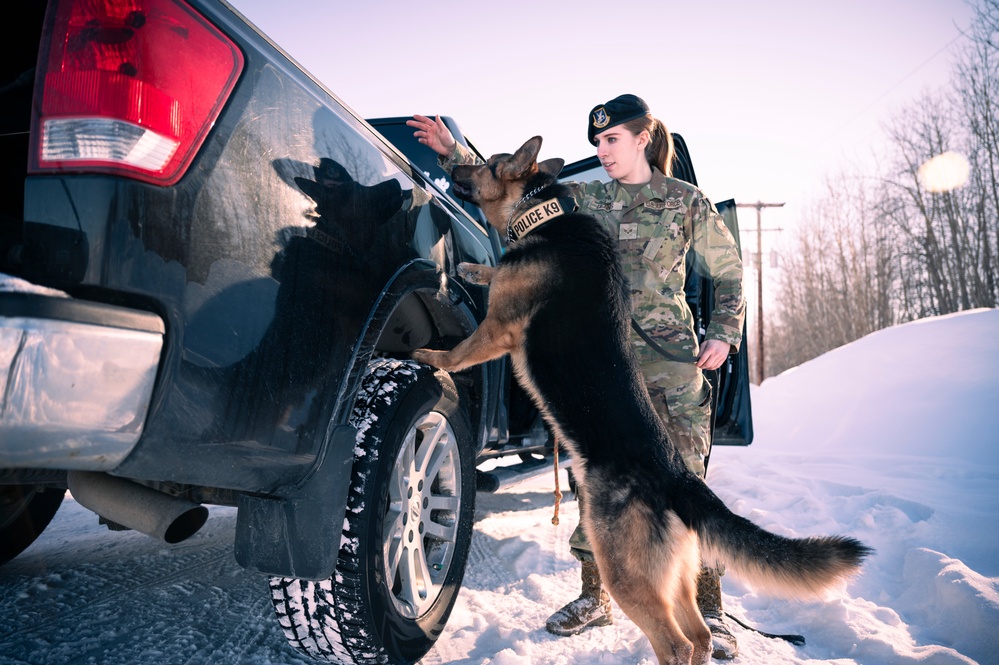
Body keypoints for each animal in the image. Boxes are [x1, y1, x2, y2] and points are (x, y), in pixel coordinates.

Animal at [410, 136, 872, 664]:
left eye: (487, 164)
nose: (450, 164)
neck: (542, 212)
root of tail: (677, 478)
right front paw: (473, 266)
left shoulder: (497, 328)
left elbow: (460, 351)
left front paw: (428, 352)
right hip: (673, 573)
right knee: (699, 637)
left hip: (625, 569)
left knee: (674, 641)